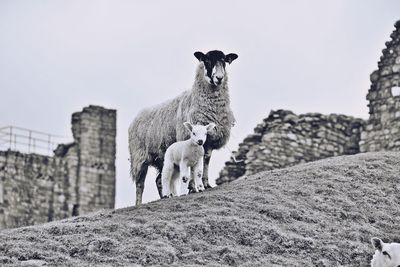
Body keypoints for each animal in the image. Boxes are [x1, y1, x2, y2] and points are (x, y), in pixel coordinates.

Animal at [128, 49, 238, 205]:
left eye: (224, 62)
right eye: (207, 60)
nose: (219, 78)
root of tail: (137, 116)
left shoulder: (209, 142)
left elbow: (206, 161)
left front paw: (206, 184)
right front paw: (192, 187)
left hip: (163, 157)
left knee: (160, 180)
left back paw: (166, 196)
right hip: (139, 157)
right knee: (140, 184)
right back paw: (139, 203)